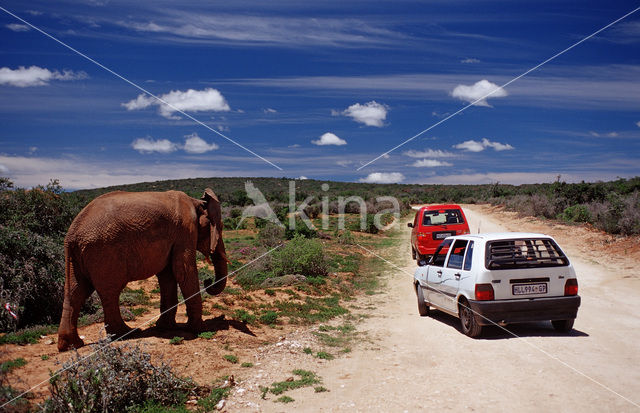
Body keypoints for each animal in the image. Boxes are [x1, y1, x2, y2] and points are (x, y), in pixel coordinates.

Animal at [57, 188, 228, 350]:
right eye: (220, 227)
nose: (208, 281)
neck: (197, 202)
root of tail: (72, 233)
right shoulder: (186, 230)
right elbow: (183, 271)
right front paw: (201, 329)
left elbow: (167, 276)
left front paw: (165, 327)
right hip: (103, 252)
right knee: (110, 292)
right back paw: (126, 333)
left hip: (77, 256)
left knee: (76, 291)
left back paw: (71, 345)